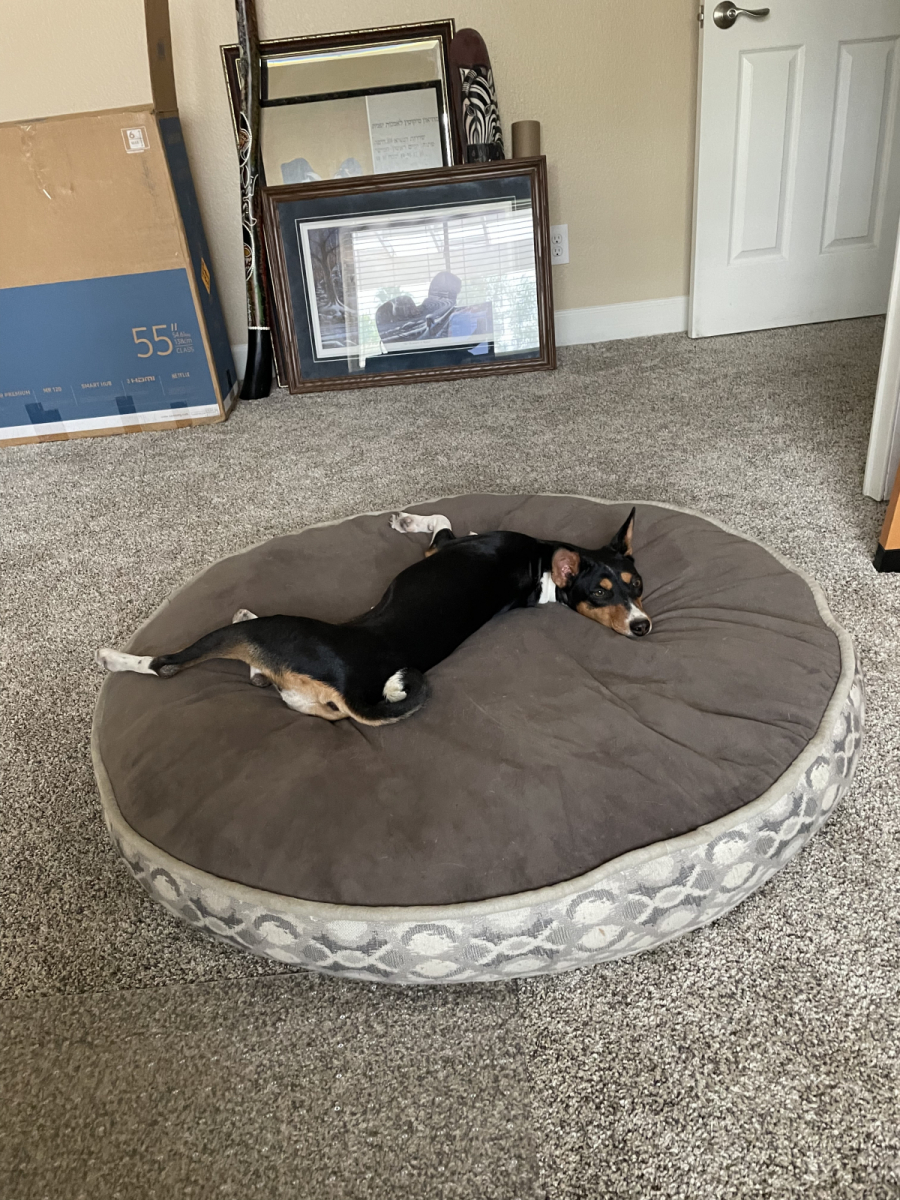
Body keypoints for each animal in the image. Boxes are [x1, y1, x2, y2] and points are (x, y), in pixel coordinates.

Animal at [95, 507, 651, 726]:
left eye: (635, 587)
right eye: (606, 592)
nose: (642, 625)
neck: (539, 568)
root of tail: (356, 686)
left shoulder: (441, 547)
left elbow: (440, 521)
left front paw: (405, 520)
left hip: (253, 632)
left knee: (167, 664)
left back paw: (115, 658)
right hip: (300, 693)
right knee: (274, 688)